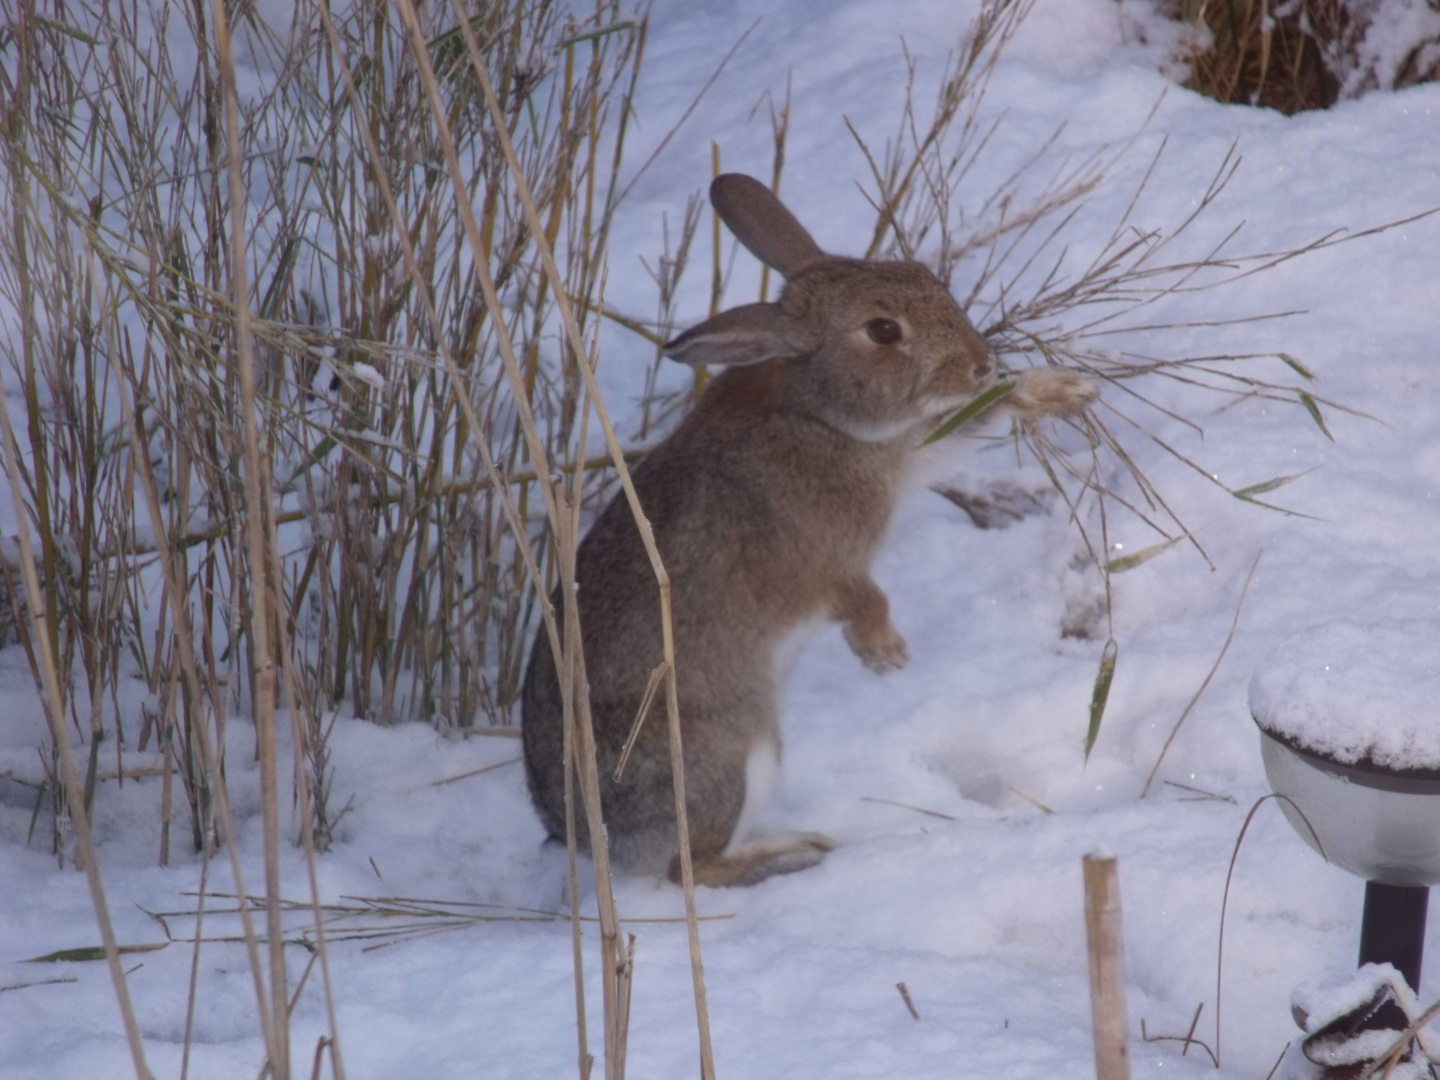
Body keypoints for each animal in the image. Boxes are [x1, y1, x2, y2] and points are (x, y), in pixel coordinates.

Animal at [524, 171, 1094, 887]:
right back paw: (798, 852)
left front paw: (1059, 390)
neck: (817, 410)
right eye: (883, 330)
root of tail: (581, 835)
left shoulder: (906, 448)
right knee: (693, 868)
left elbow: (965, 425)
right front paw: (886, 655)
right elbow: (863, 596)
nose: (980, 364)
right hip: (733, 755)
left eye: (925, 275)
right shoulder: (821, 565)